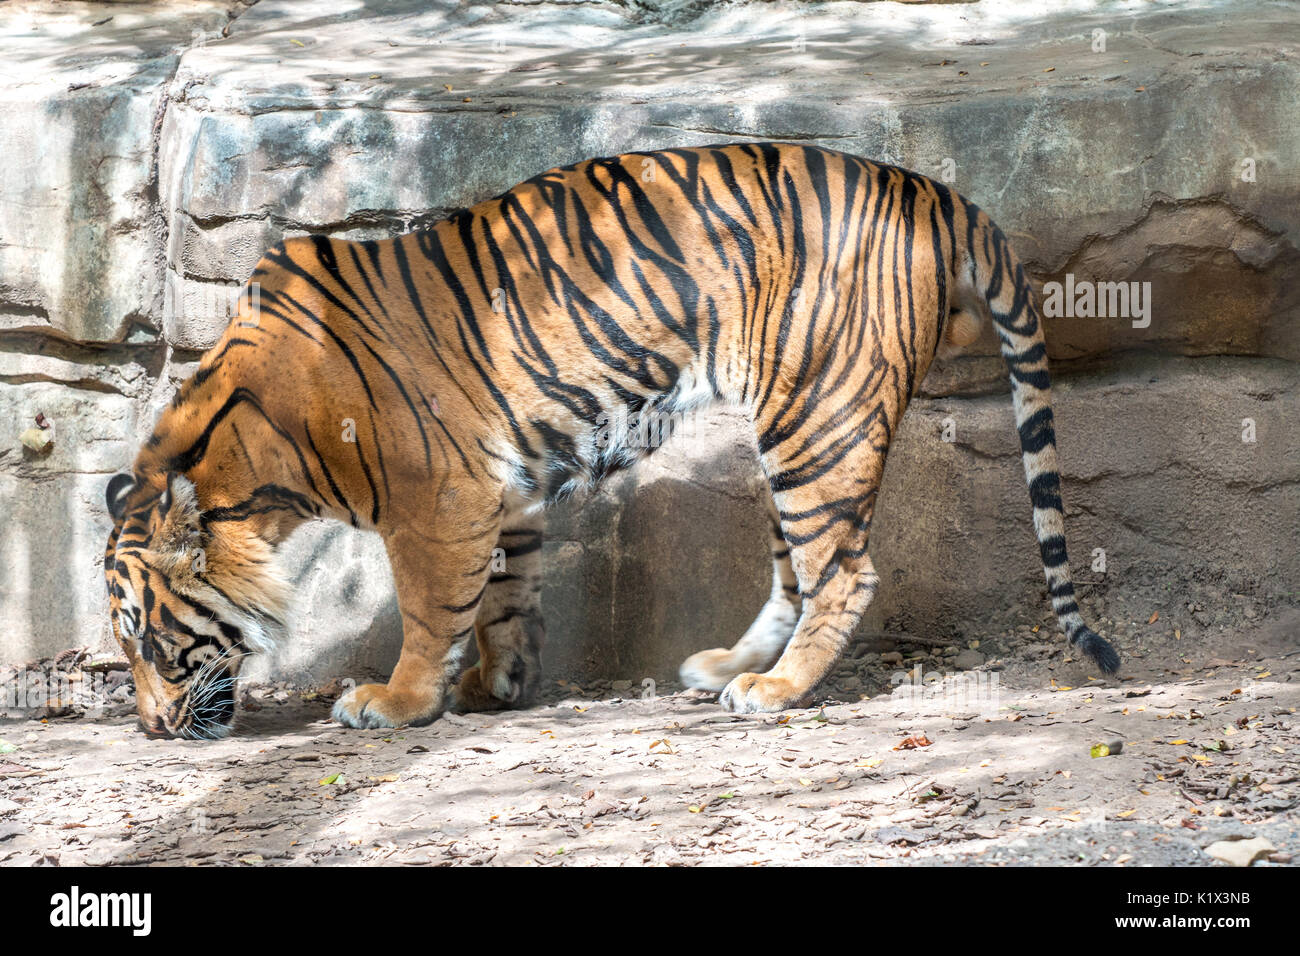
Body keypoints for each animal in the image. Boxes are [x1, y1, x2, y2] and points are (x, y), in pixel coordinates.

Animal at [102, 143, 1119, 739]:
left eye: (147, 636)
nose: (149, 727)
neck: (252, 466)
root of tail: (933, 189)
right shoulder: (499, 495)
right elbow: (502, 597)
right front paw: (498, 682)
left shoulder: (436, 501)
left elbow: (431, 612)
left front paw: (396, 700)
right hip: (793, 432)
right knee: (797, 568)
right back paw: (732, 668)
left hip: (818, 421)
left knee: (845, 572)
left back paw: (779, 691)